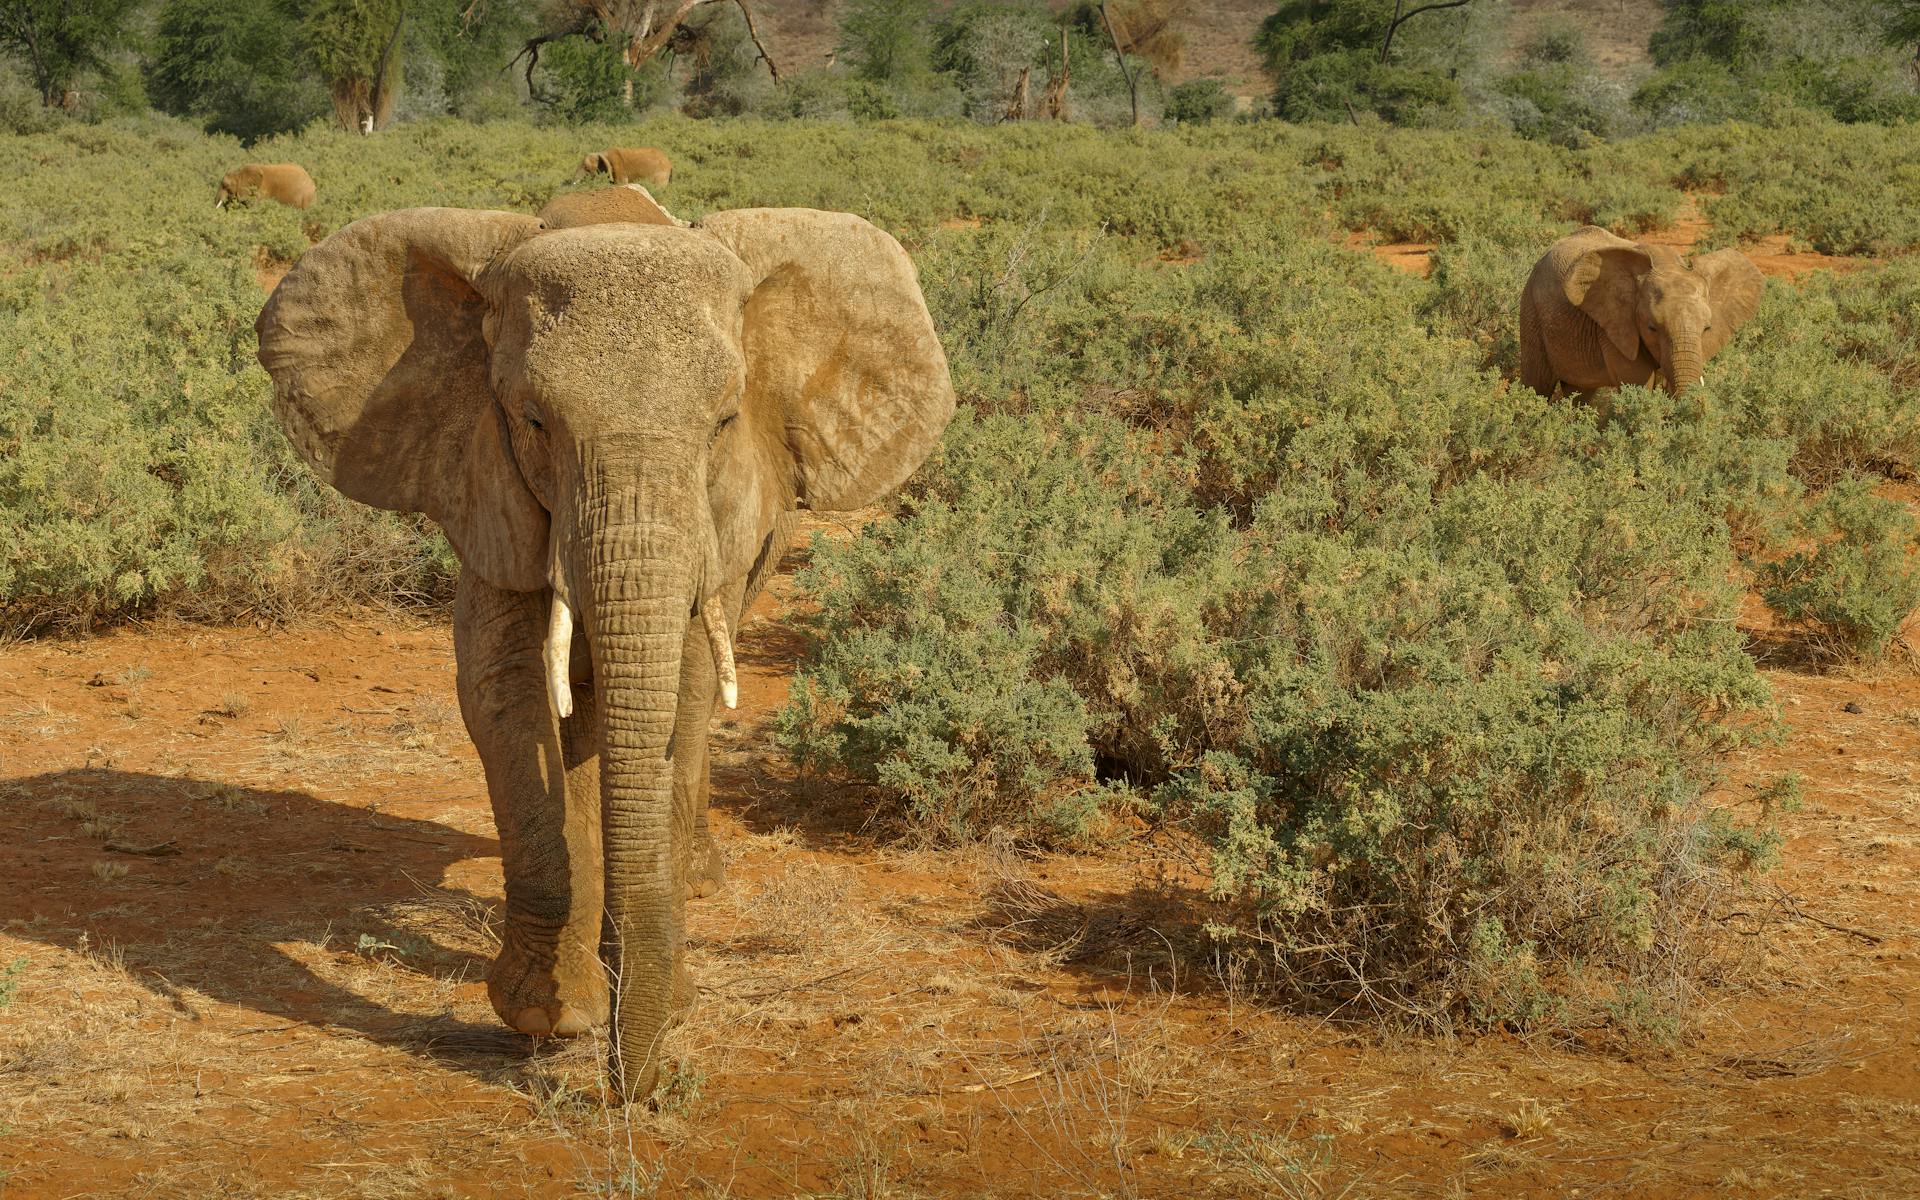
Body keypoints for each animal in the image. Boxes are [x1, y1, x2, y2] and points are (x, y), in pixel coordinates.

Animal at [1520, 219, 1758, 397]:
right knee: (1537, 385)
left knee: (1580, 392)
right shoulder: (1615, 327)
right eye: (1651, 328)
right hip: (1530, 307)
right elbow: (1638, 383)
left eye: (1707, 329)